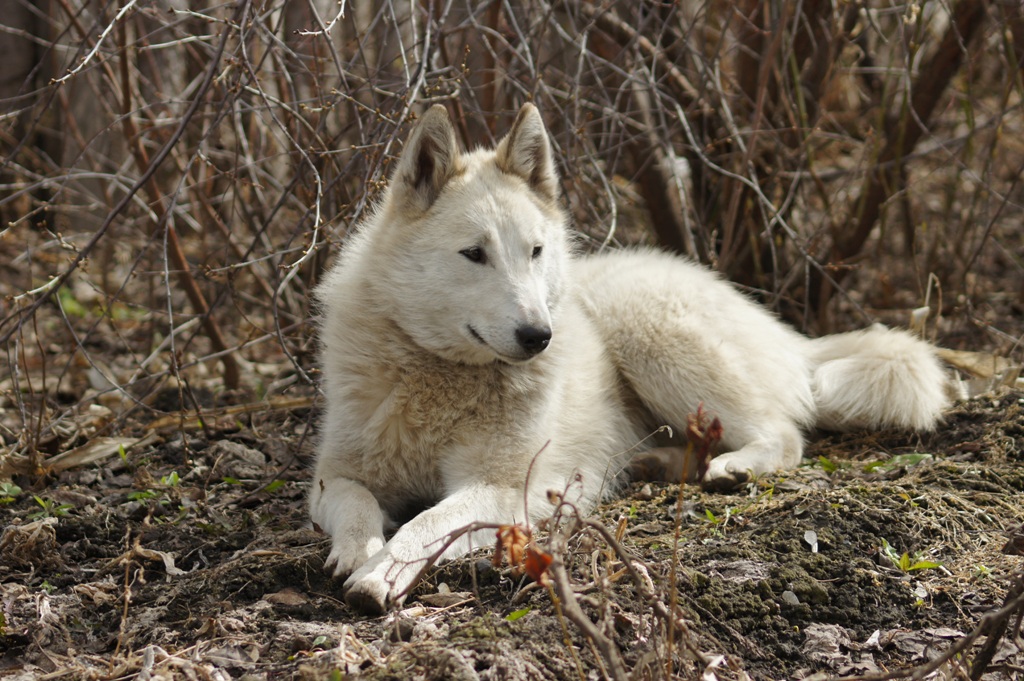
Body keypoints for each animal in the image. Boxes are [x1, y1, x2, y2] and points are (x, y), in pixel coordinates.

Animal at [305, 104, 950, 610]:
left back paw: (732, 467)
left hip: (646, 335)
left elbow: (427, 522)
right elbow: (357, 503)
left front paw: (379, 574)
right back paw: (652, 464)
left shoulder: (501, 488)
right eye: (474, 254)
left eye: (534, 252)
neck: (438, 372)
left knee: (785, 434)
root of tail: (782, 331)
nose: (539, 336)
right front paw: (358, 551)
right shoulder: (333, 476)